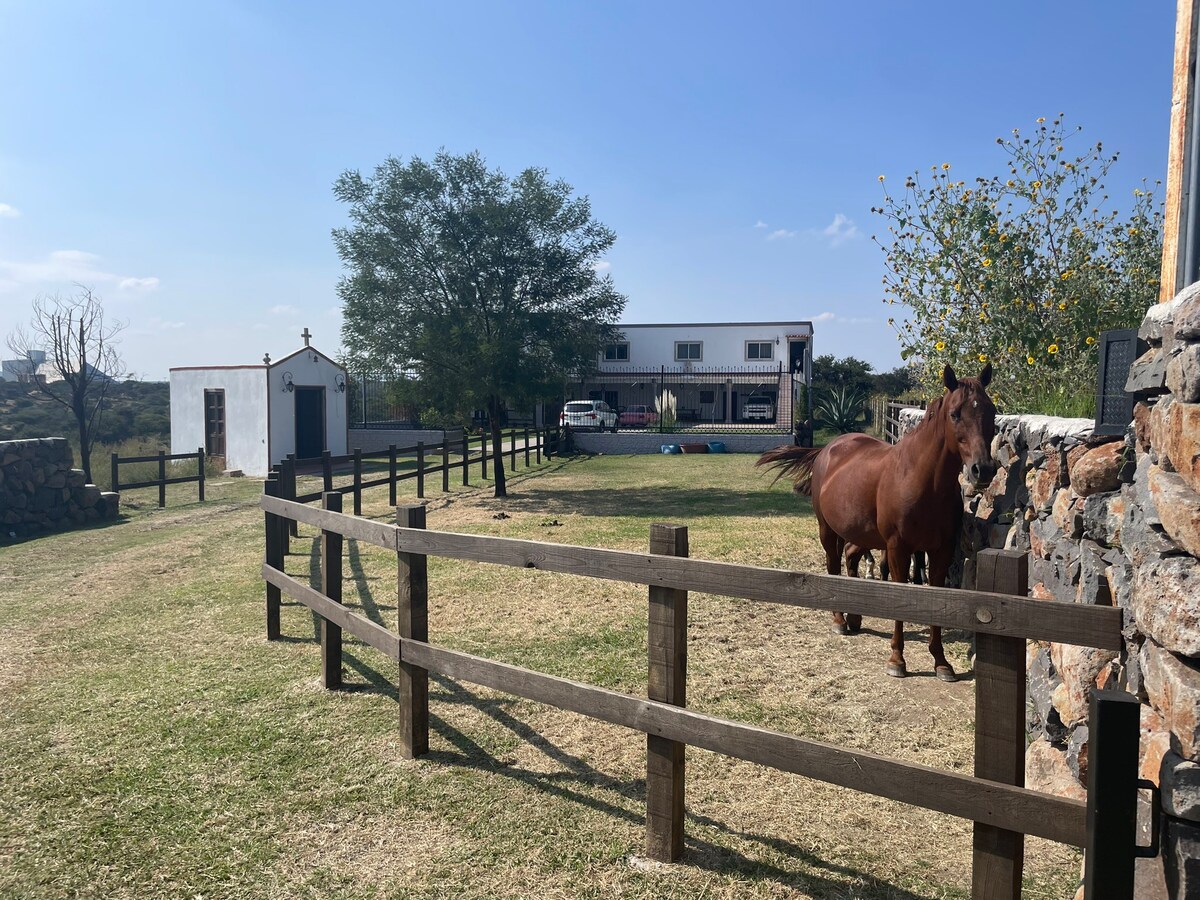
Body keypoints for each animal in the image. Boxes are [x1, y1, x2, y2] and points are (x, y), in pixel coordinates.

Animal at [763, 362, 998, 681]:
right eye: (955, 414)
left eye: (992, 411)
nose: (982, 469)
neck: (922, 480)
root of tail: (826, 451)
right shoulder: (898, 549)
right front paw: (897, 659)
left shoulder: (940, 551)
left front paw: (941, 662)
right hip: (828, 530)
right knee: (834, 566)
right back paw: (840, 619)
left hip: (860, 534)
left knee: (850, 559)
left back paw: (854, 616)